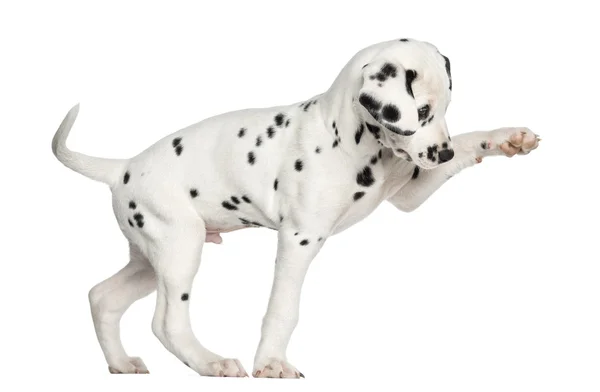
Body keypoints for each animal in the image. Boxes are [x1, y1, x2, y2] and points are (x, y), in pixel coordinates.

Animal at [50, 38, 540, 378]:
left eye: (444, 109)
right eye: (420, 111)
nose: (439, 153)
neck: (348, 136)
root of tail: (123, 167)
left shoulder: (410, 194)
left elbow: (469, 145)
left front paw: (509, 137)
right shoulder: (299, 239)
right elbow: (283, 308)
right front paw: (271, 364)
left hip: (152, 258)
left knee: (103, 297)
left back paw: (120, 363)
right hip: (179, 249)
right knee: (167, 322)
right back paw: (211, 364)